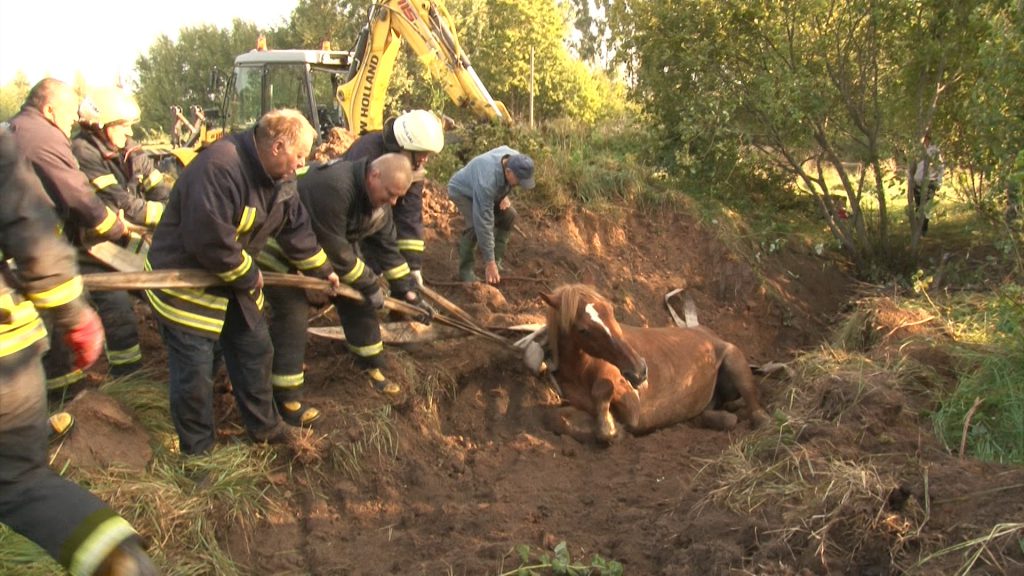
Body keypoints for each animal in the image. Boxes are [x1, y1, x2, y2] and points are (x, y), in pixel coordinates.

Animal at [544, 282, 770, 438]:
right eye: (583, 330)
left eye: (611, 310)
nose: (639, 371)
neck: (582, 371)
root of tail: (703, 330)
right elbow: (556, 419)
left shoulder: (632, 409)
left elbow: (603, 394)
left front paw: (613, 430)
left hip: (734, 361)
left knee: (756, 409)